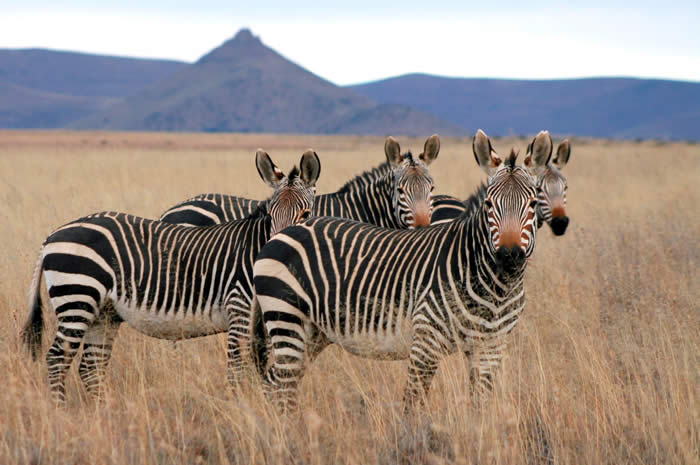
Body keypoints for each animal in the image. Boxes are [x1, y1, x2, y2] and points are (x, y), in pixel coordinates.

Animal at [21, 148, 322, 402]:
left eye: (305, 213)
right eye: (271, 213)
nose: (275, 253)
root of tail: (52, 236)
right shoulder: (240, 308)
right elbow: (238, 368)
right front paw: (241, 407)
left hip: (102, 313)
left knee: (90, 366)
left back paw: (99, 413)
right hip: (78, 297)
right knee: (57, 359)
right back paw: (59, 410)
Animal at [253, 129, 552, 412]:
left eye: (533, 204)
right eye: (488, 204)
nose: (509, 256)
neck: (496, 288)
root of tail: (286, 231)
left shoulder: (490, 347)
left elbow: (480, 406)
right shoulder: (426, 341)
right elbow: (412, 404)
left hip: (312, 332)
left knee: (273, 381)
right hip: (286, 319)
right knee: (283, 386)